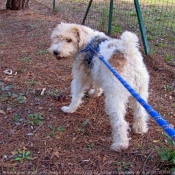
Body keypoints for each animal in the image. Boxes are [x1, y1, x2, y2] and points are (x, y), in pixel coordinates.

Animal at [48, 22, 150, 152]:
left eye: (69, 40)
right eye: (57, 37)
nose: (55, 52)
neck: (86, 43)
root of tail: (128, 51)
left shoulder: (80, 77)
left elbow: (76, 96)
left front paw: (70, 109)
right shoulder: (96, 72)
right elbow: (97, 85)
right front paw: (95, 93)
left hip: (114, 97)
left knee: (120, 122)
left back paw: (120, 144)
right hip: (140, 91)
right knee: (141, 113)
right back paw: (140, 129)